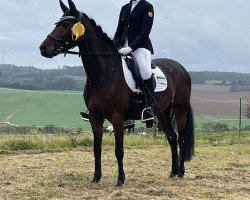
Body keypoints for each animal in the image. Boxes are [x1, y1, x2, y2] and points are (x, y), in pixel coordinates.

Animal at [39, 0, 195, 188]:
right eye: (57, 23)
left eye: (66, 25)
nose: (43, 48)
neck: (105, 73)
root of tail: (181, 69)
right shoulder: (95, 117)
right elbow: (96, 148)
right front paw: (96, 178)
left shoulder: (117, 117)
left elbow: (119, 150)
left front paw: (120, 180)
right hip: (161, 113)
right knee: (172, 137)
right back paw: (172, 172)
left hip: (180, 109)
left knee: (181, 138)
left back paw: (181, 172)